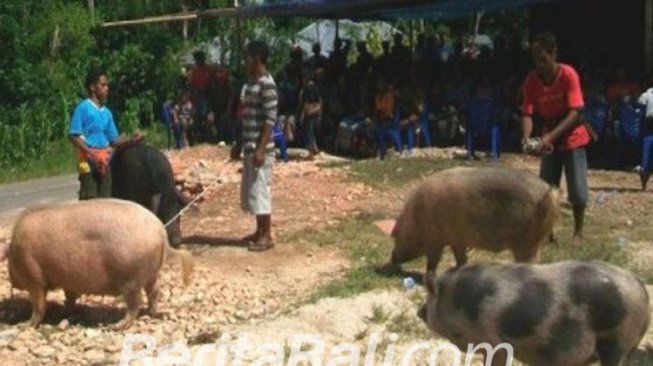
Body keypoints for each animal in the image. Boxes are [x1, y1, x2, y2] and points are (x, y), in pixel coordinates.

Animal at [0, 199, 192, 330]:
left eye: (8, 260)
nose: (13, 283)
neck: (15, 249)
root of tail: (159, 229)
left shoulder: (34, 277)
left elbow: (39, 304)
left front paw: (25, 325)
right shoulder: (69, 279)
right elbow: (70, 297)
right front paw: (66, 311)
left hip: (130, 277)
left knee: (134, 303)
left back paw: (116, 326)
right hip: (151, 274)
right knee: (154, 292)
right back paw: (151, 313)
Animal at [382, 167, 560, 274]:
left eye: (395, 236)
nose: (391, 260)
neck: (415, 220)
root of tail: (549, 192)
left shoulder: (435, 240)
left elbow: (433, 261)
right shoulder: (457, 239)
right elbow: (460, 256)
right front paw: (458, 268)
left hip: (526, 243)